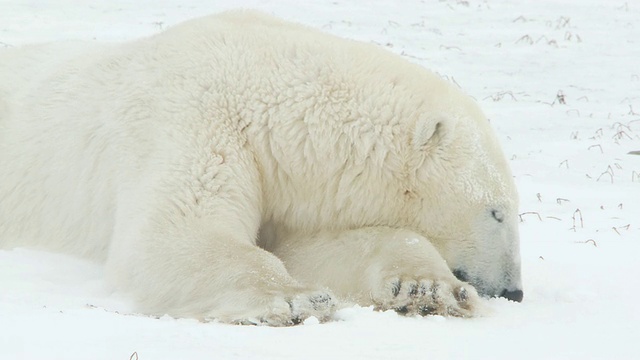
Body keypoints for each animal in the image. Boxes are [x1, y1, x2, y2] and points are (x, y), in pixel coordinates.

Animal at [0, 10, 520, 326]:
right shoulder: (194, 123)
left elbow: (318, 247)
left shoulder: (291, 186)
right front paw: (293, 299)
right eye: (496, 212)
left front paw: (428, 288)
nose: (513, 292)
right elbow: (173, 236)